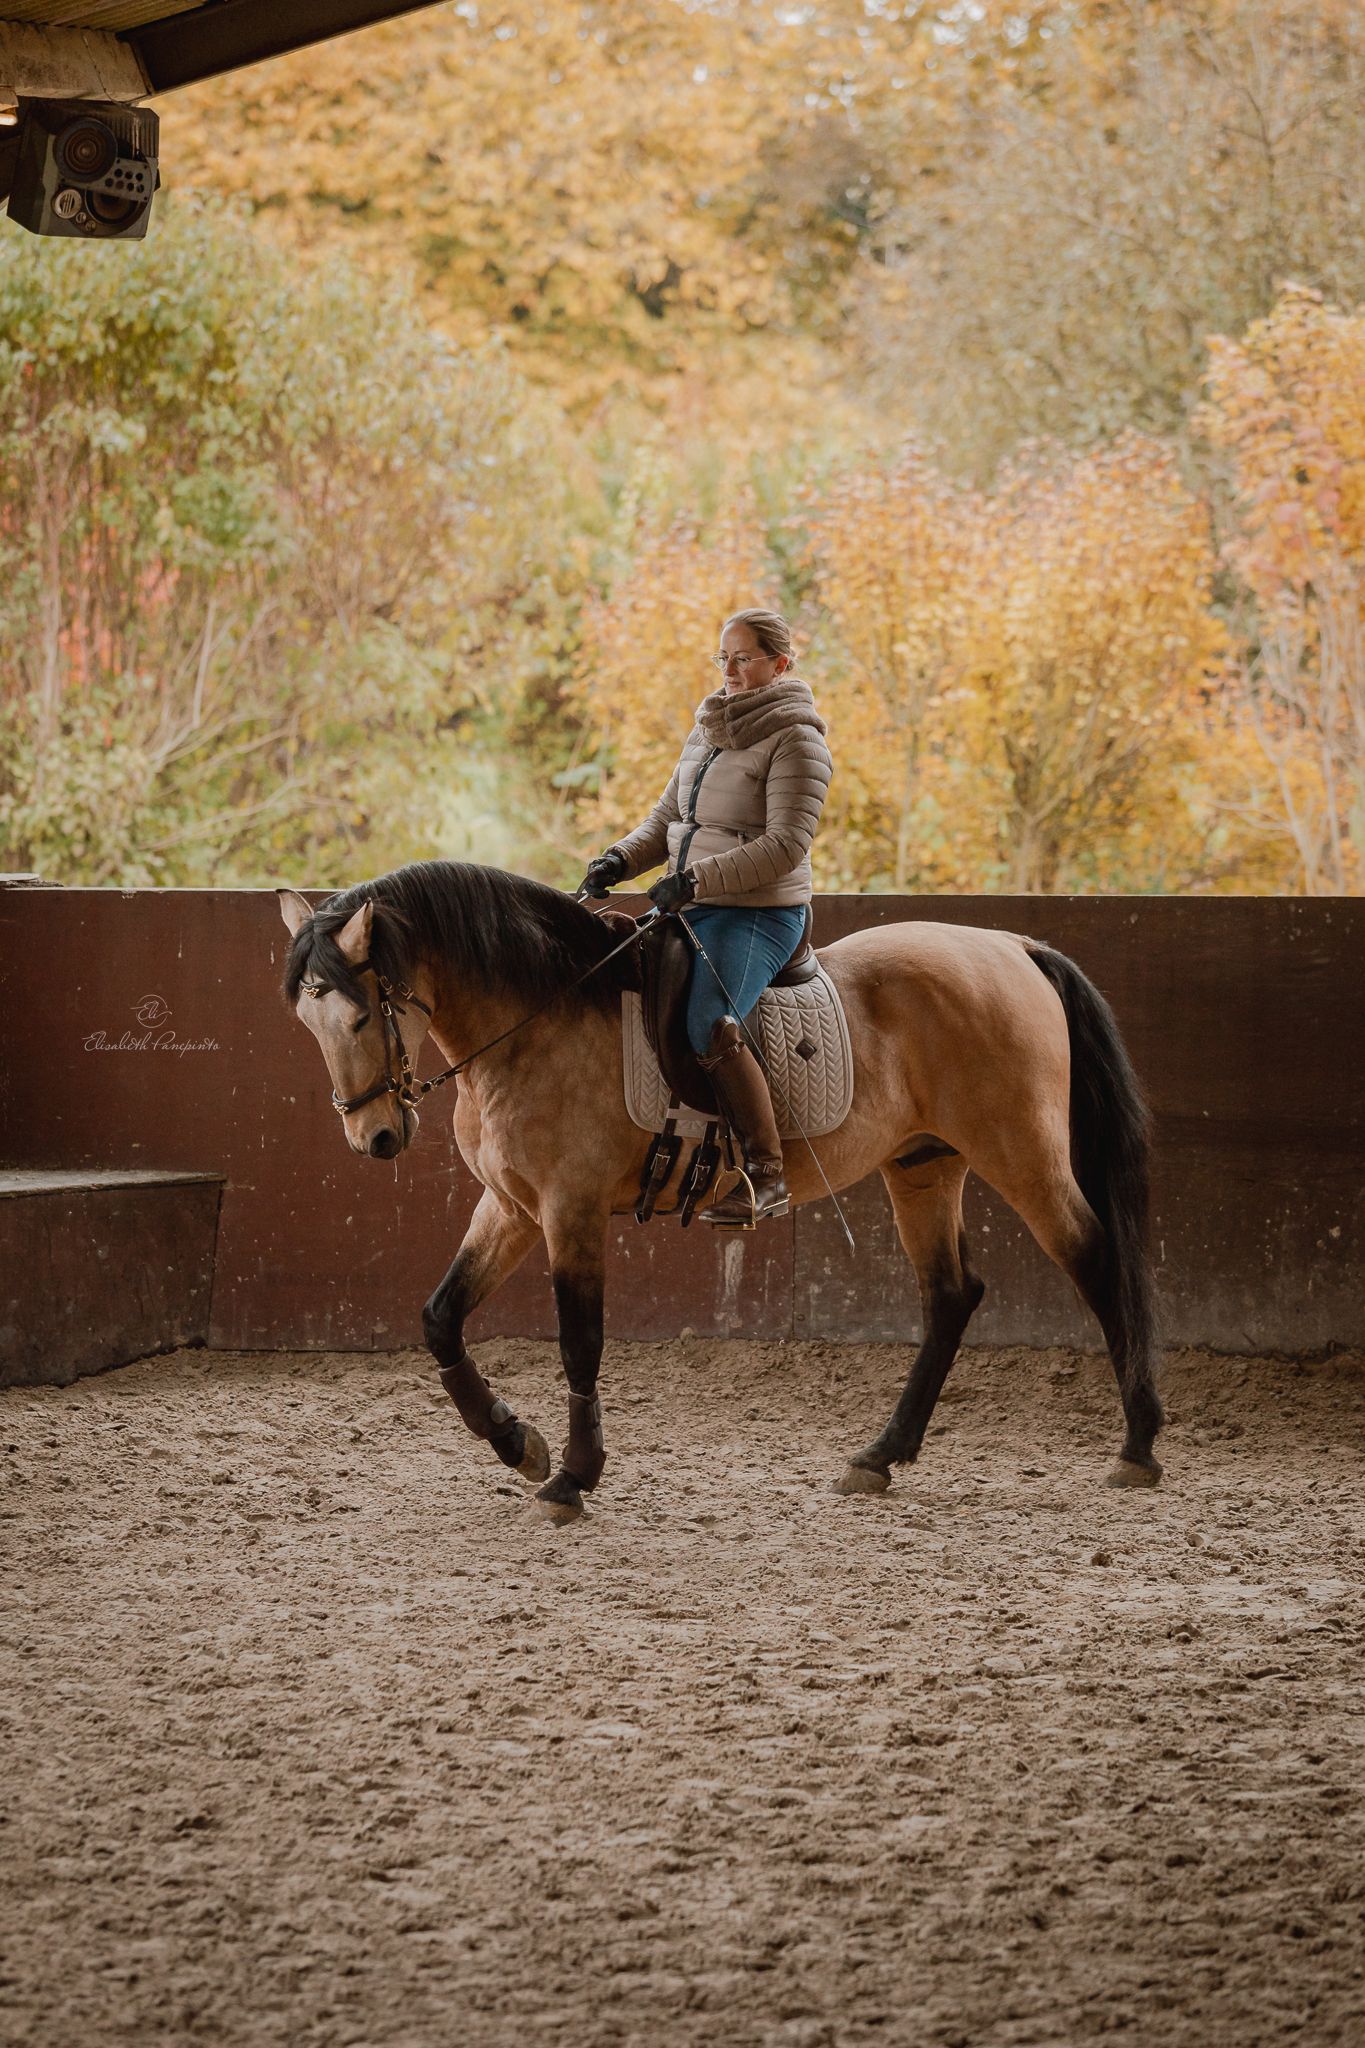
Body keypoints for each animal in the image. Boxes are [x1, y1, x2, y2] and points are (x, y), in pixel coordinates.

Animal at [277, 859, 1163, 1525]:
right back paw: (878, 1458)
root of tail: (1012, 945)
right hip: (922, 1164)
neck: (538, 1019)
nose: (374, 1139)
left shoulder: (569, 1211)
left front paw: (572, 1476)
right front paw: (515, 1442)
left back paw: (1138, 1447)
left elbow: (579, 1341)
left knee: (1093, 1258)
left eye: (359, 1019)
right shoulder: (514, 1207)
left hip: (1020, 1152)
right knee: (950, 1293)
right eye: (307, 1025)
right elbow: (441, 1317)